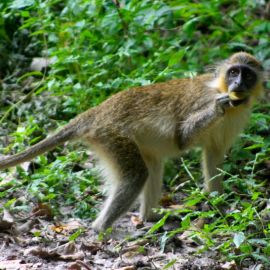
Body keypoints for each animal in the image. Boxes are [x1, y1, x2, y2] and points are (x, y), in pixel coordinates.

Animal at [0, 53, 264, 232]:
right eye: (234, 72)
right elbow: (182, 137)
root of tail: (98, 111)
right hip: (111, 135)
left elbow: (213, 156)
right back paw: (100, 229)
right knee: (138, 174)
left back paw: (149, 218)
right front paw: (218, 107)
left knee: (153, 167)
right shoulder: (200, 101)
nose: (238, 85)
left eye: (247, 75)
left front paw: (219, 207)